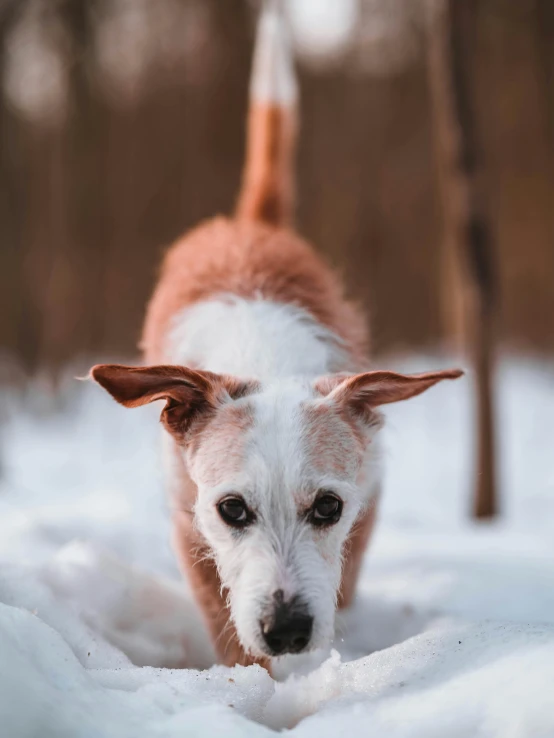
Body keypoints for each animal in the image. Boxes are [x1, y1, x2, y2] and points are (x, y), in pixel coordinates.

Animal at [91, 4, 462, 668]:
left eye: (329, 507)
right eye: (233, 509)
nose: (287, 630)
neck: (263, 360)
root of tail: (253, 223)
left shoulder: (369, 492)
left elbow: (346, 571)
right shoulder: (186, 514)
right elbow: (223, 620)